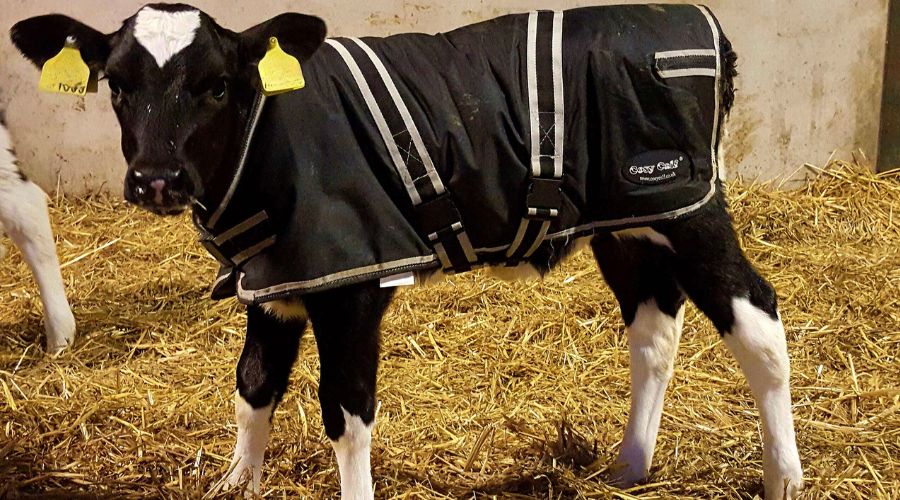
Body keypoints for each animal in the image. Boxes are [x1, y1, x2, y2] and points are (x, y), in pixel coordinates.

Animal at [12, 4, 800, 500]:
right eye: (117, 84)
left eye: (217, 85)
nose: (156, 179)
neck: (266, 149)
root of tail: (700, 24)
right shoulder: (275, 279)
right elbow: (253, 385)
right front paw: (237, 483)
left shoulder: (353, 280)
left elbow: (346, 409)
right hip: (632, 222)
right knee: (654, 325)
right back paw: (630, 467)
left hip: (690, 206)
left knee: (757, 320)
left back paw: (783, 478)